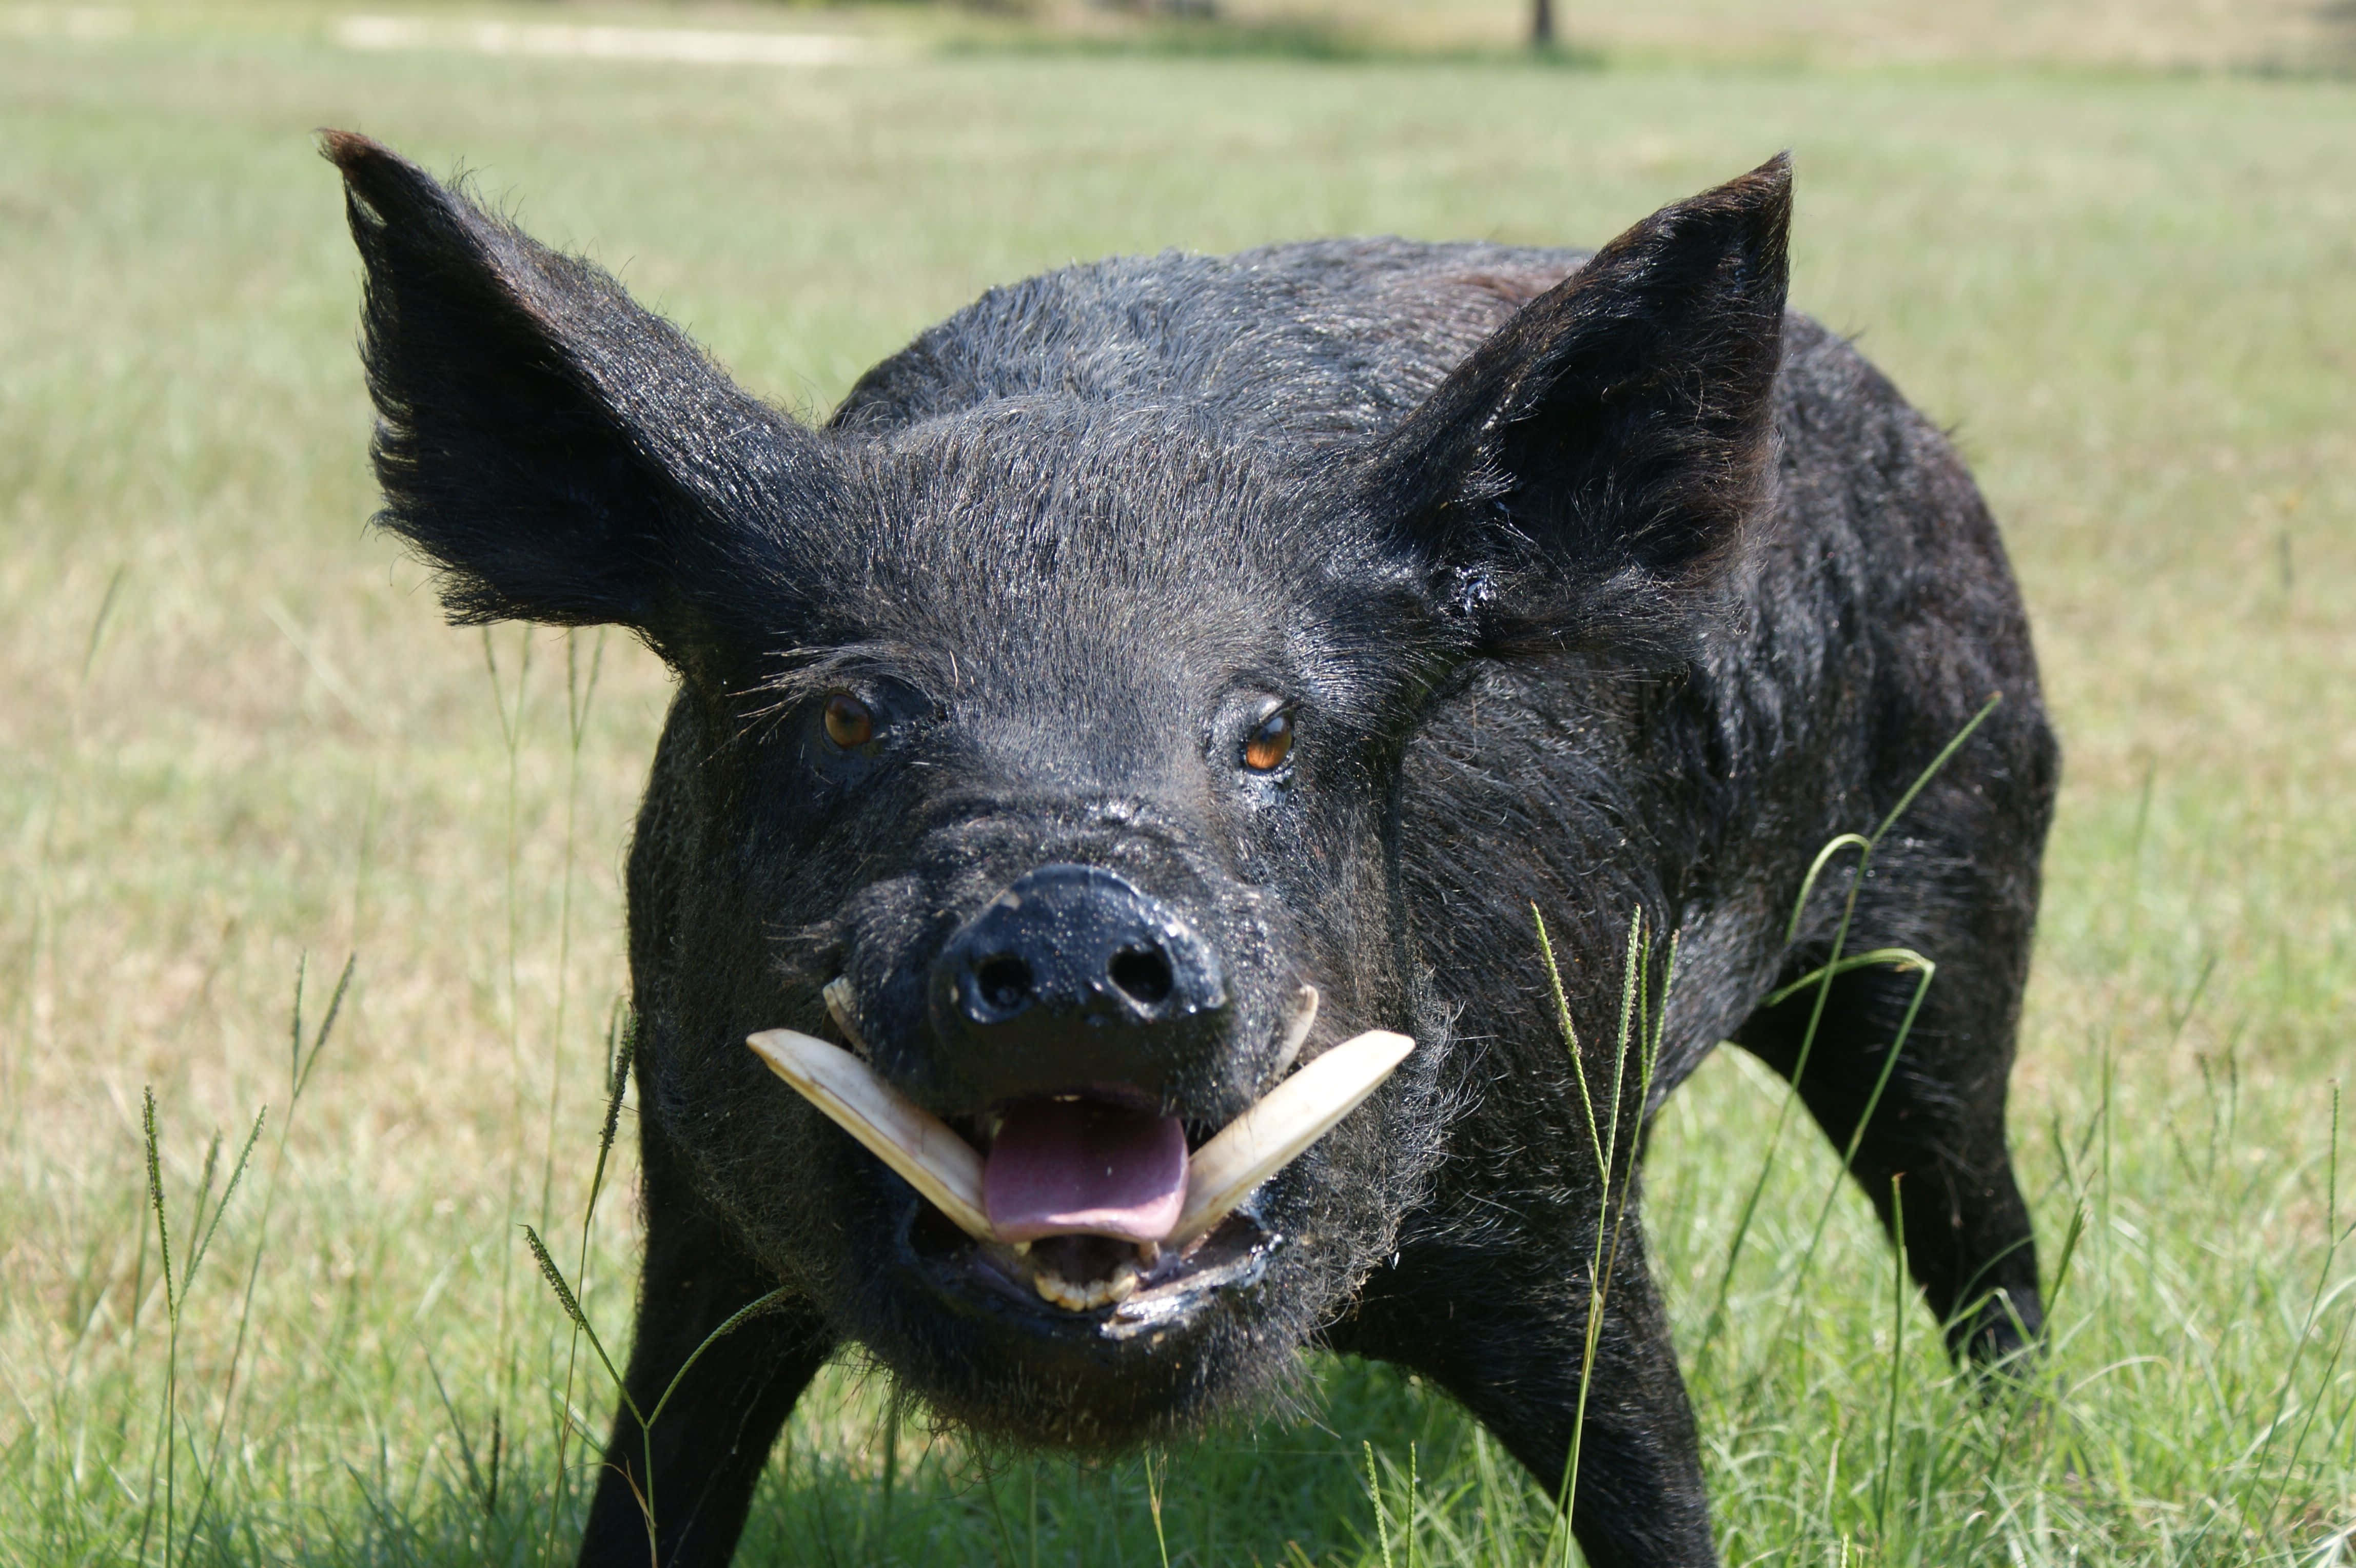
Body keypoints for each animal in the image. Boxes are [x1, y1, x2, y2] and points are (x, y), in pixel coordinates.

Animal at [326, 132, 2055, 1568]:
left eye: (1270, 732)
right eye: (849, 715)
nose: (1073, 930)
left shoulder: (1564, 1183)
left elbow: (1646, 1464)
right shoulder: (695, 1207)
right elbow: (655, 1483)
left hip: (1957, 892)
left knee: (1979, 1220)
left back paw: (2017, 1460)